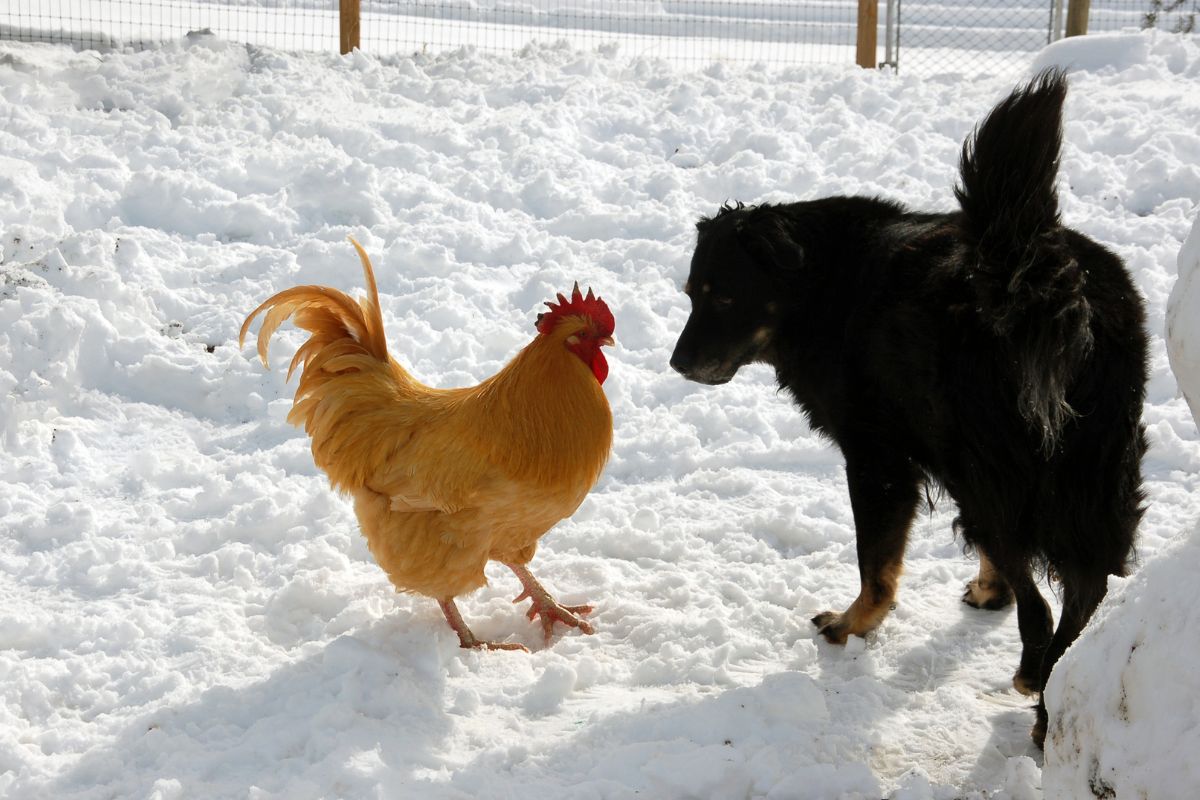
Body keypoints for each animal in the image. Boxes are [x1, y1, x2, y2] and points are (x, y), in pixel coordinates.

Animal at [672, 71, 1147, 748]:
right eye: (692, 294)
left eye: (726, 298)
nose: (676, 364)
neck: (825, 285)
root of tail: (1044, 276)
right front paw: (989, 590)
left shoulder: (879, 460)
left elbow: (876, 565)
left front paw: (853, 626)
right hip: (1090, 473)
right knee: (1087, 591)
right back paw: (1053, 695)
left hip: (995, 481)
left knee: (1042, 606)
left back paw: (1035, 687)